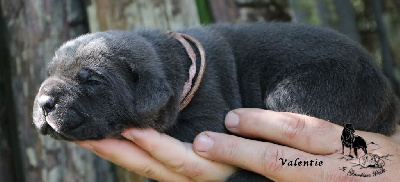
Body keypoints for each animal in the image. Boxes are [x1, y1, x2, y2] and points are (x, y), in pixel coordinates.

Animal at [32, 22, 400, 181]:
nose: (44, 102)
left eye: (93, 81)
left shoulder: (207, 118)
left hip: (303, 91)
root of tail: (388, 100)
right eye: (48, 73)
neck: (180, 68)